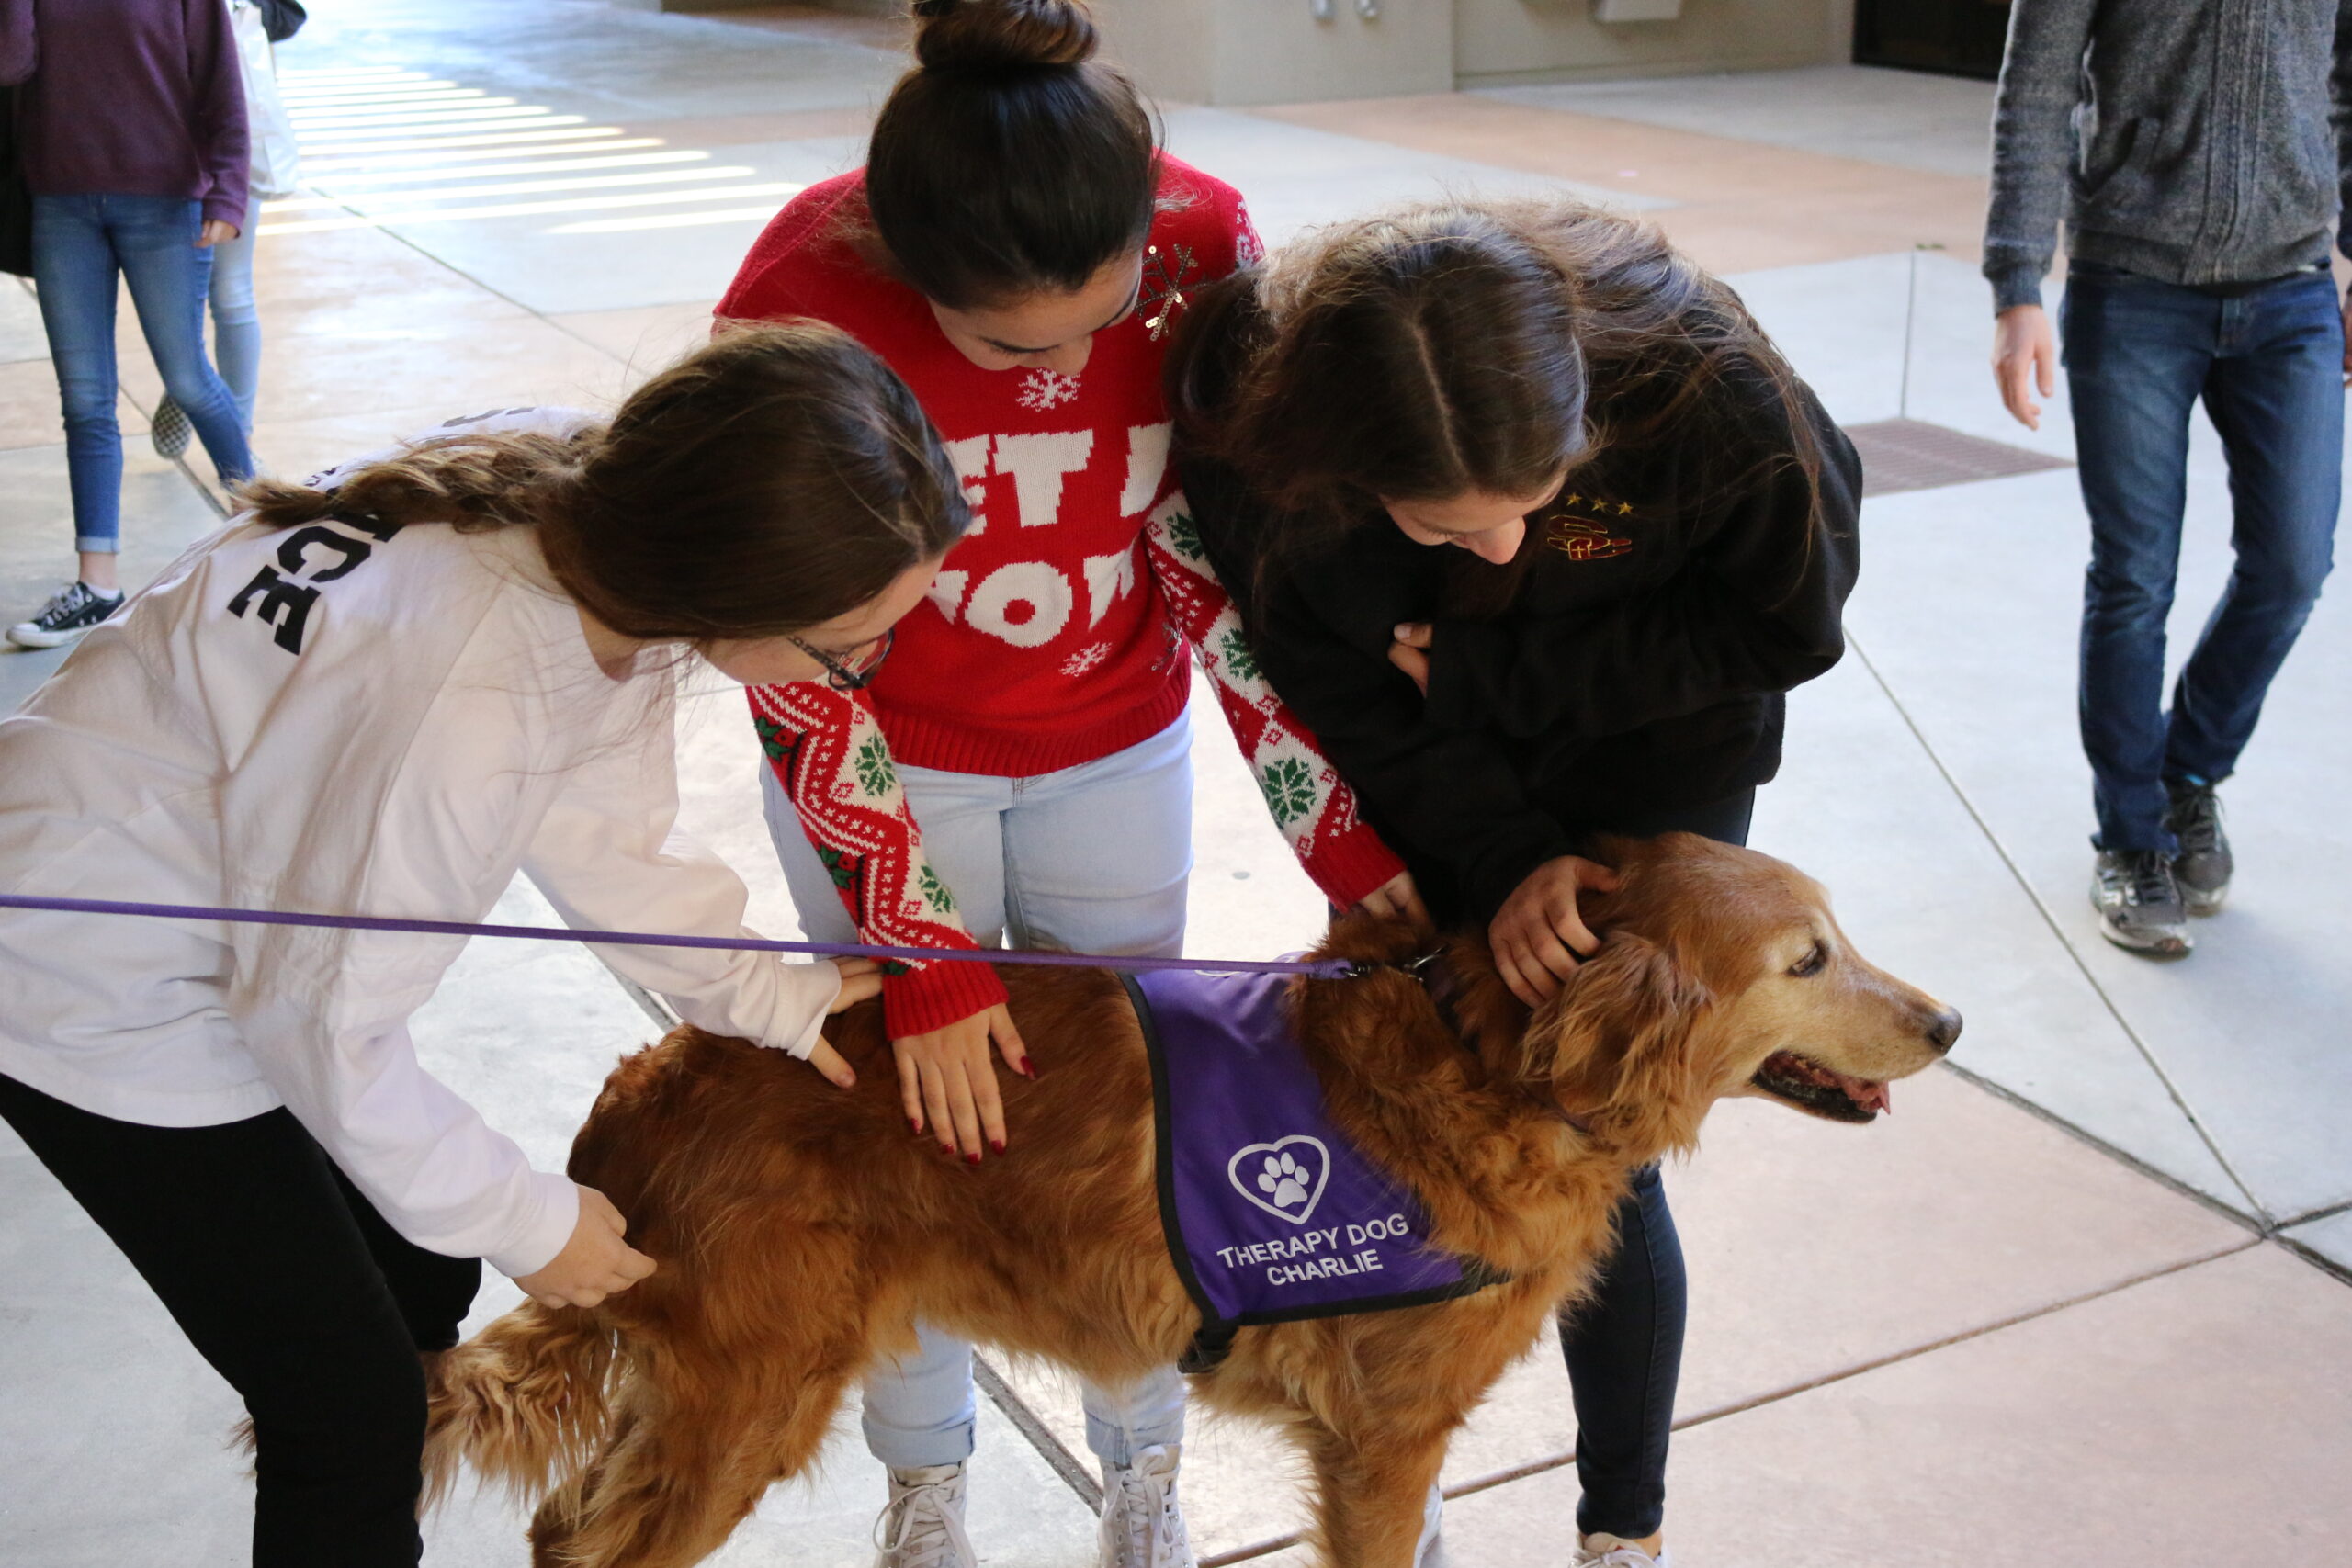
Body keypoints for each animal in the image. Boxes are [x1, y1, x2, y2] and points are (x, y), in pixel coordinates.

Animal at [427, 827, 1966, 1561]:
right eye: (1808, 958)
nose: (1950, 1021)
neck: (1498, 1069)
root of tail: (645, 1084)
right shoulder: (1382, 1444)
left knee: (562, 1531)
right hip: (749, 1399)